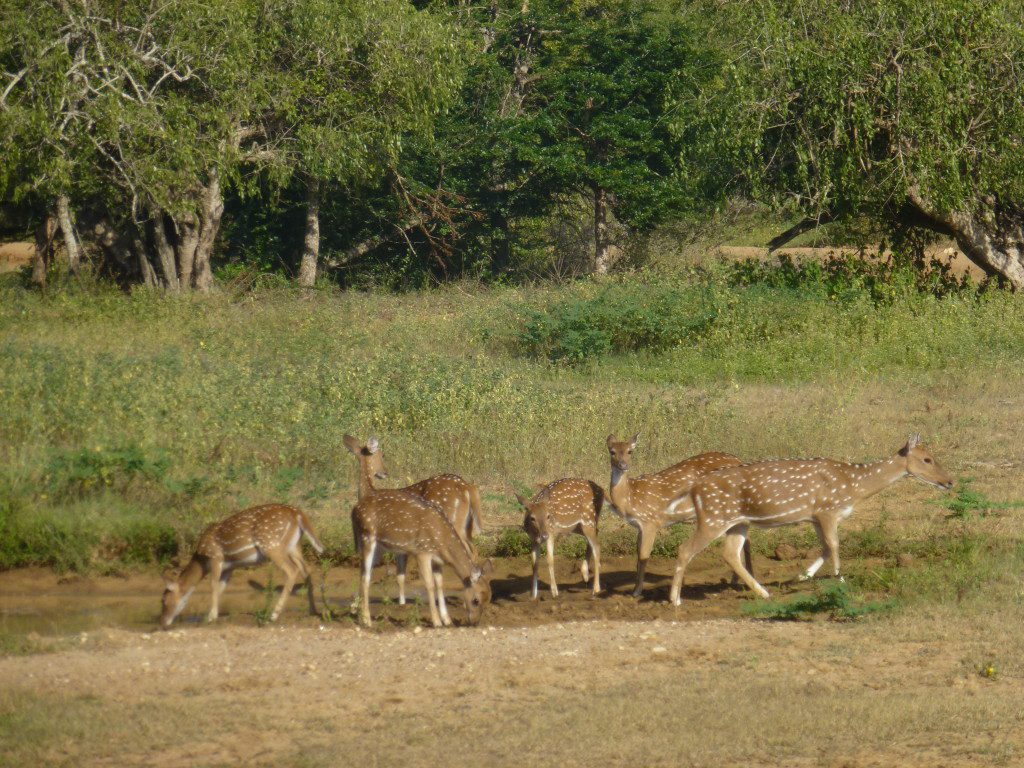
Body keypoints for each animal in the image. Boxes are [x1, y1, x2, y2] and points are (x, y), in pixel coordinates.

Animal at [158, 505, 323, 630]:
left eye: (164, 599)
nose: (163, 622)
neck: (201, 560)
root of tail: (298, 514)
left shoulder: (215, 557)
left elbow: (213, 585)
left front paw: (210, 617)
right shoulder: (229, 567)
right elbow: (221, 587)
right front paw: (212, 615)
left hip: (271, 544)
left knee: (291, 570)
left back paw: (274, 615)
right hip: (294, 546)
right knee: (307, 570)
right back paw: (313, 610)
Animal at [344, 434, 483, 606]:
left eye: (383, 454)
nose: (384, 472)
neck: (369, 492)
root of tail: (468, 488)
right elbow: (400, 574)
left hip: (453, 524)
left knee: (468, 551)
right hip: (466, 527)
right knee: (473, 549)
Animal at [602, 436, 749, 598]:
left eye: (630, 451)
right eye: (612, 451)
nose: (623, 465)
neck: (630, 498)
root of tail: (740, 460)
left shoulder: (650, 521)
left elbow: (643, 557)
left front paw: (636, 592)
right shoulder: (639, 526)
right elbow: (638, 556)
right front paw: (634, 589)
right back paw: (735, 582)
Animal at [667, 436, 954, 606]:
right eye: (927, 459)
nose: (950, 481)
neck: (854, 486)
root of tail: (693, 488)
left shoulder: (815, 516)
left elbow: (826, 548)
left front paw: (801, 576)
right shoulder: (828, 509)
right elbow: (835, 546)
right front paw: (841, 582)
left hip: (738, 522)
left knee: (729, 553)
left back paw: (763, 592)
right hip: (713, 517)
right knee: (685, 549)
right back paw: (675, 599)